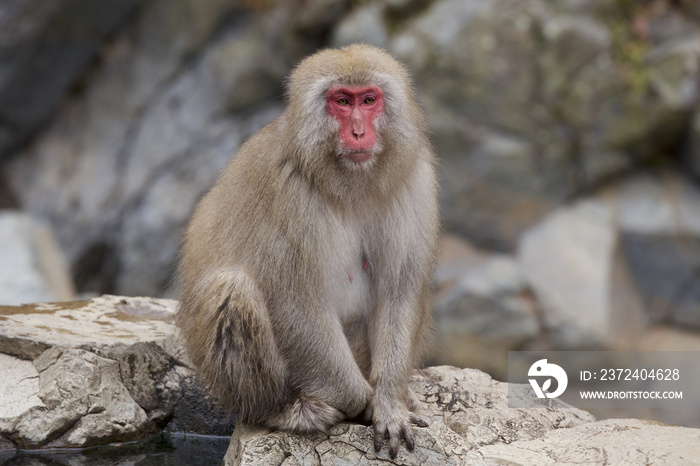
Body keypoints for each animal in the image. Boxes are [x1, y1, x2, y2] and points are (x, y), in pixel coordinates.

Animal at [175, 43, 438, 458]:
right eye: (342, 101)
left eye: (368, 100)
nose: (359, 132)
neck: (348, 182)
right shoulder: (286, 191)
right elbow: (294, 303)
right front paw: (364, 404)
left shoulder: (414, 177)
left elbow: (401, 289)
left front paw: (389, 402)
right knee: (232, 289)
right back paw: (284, 410)